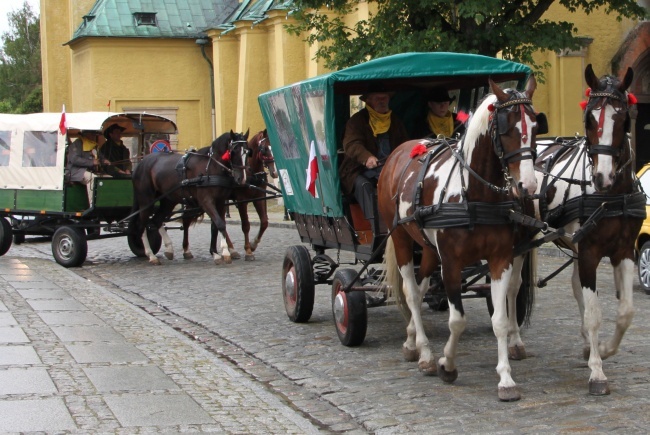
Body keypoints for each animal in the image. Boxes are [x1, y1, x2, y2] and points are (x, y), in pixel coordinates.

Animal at [129, 129, 248, 266]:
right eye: (234, 151)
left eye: (247, 152)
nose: (241, 178)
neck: (211, 166)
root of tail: (141, 163)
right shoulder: (206, 201)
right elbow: (220, 224)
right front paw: (225, 252)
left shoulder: (220, 202)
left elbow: (216, 226)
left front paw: (216, 253)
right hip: (146, 201)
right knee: (141, 225)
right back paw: (150, 255)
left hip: (168, 201)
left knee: (156, 221)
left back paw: (169, 249)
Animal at [378, 76, 540, 402]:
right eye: (506, 128)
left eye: (535, 125)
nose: (527, 186)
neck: (474, 196)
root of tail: (400, 152)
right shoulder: (451, 264)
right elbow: (457, 320)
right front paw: (447, 364)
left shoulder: (501, 259)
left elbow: (500, 320)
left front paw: (506, 379)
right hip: (401, 238)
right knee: (411, 292)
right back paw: (426, 354)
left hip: (428, 248)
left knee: (422, 286)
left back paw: (412, 341)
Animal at [516, 65, 644, 398]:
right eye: (588, 119)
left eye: (623, 118)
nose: (602, 177)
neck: (611, 196)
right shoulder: (589, 251)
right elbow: (595, 313)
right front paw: (597, 372)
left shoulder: (623, 251)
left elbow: (625, 311)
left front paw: (602, 349)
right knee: (510, 289)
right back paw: (514, 341)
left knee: (575, 288)